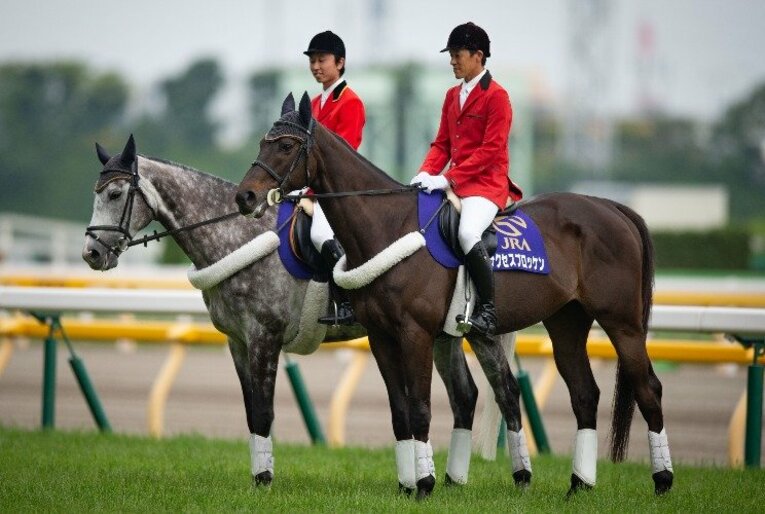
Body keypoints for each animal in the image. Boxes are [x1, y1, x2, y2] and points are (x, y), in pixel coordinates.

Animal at [81, 134, 489, 492]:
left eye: (115, 194)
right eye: (95, 194)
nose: (91, 253)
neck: (238, 234)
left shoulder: (264, 337)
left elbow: (264, 411)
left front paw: (263, 481)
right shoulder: (238, 342)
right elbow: (251, 412)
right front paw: (257, 477)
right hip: (442, 337)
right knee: (465, 395)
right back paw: (454, 480)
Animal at [234, 93, 674, 498]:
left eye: (285, 146)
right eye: (262, 142)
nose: (245, 197)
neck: (389, 225)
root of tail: (612, 207)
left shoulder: (415, 335)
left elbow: (420, 407)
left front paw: (425, 484)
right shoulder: (381, 337)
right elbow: (400, 412)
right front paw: (407, 485)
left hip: (622, 324)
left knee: (648, 388)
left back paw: (662, 480)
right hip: (566, 323)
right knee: (584, 394)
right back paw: (579, 486)